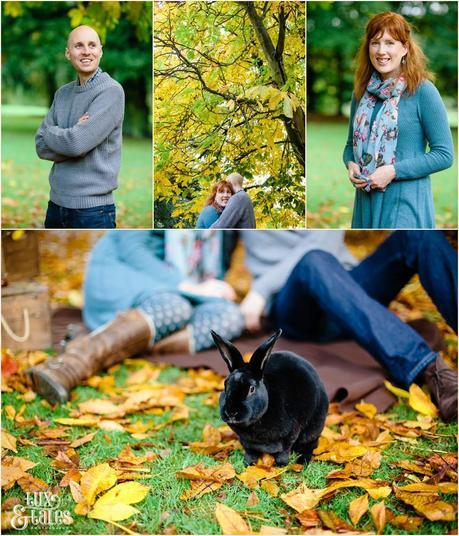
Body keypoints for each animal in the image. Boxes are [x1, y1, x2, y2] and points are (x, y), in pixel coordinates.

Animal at [210, 326, 328, 464]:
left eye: (251, 389)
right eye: (225, 385)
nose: (231, 412)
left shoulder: (291, 433)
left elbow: (284, 451)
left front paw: (281, 464)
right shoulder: (245, 441)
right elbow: (250, 452)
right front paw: (248, 463)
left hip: (313, 430)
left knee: (310, 445)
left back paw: (302, 461)